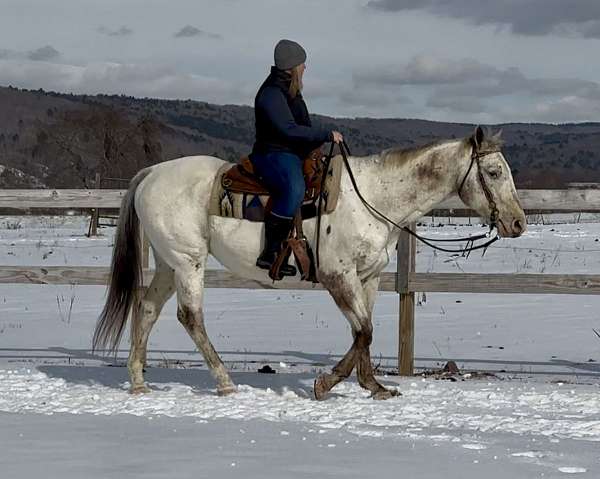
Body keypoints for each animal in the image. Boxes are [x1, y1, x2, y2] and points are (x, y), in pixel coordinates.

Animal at [94, 126, 524, 402]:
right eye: (493, 171)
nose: (517, 222)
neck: (374, 198)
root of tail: (152, 173)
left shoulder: (368, 277)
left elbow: (364, 331)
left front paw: (374, 387)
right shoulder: (338, 276)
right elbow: (363, 330)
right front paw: (326, 383)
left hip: (169, 262)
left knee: (147, 308)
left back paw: (138, 382)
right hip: (188, 262)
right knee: (190, 317)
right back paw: (225, 381)